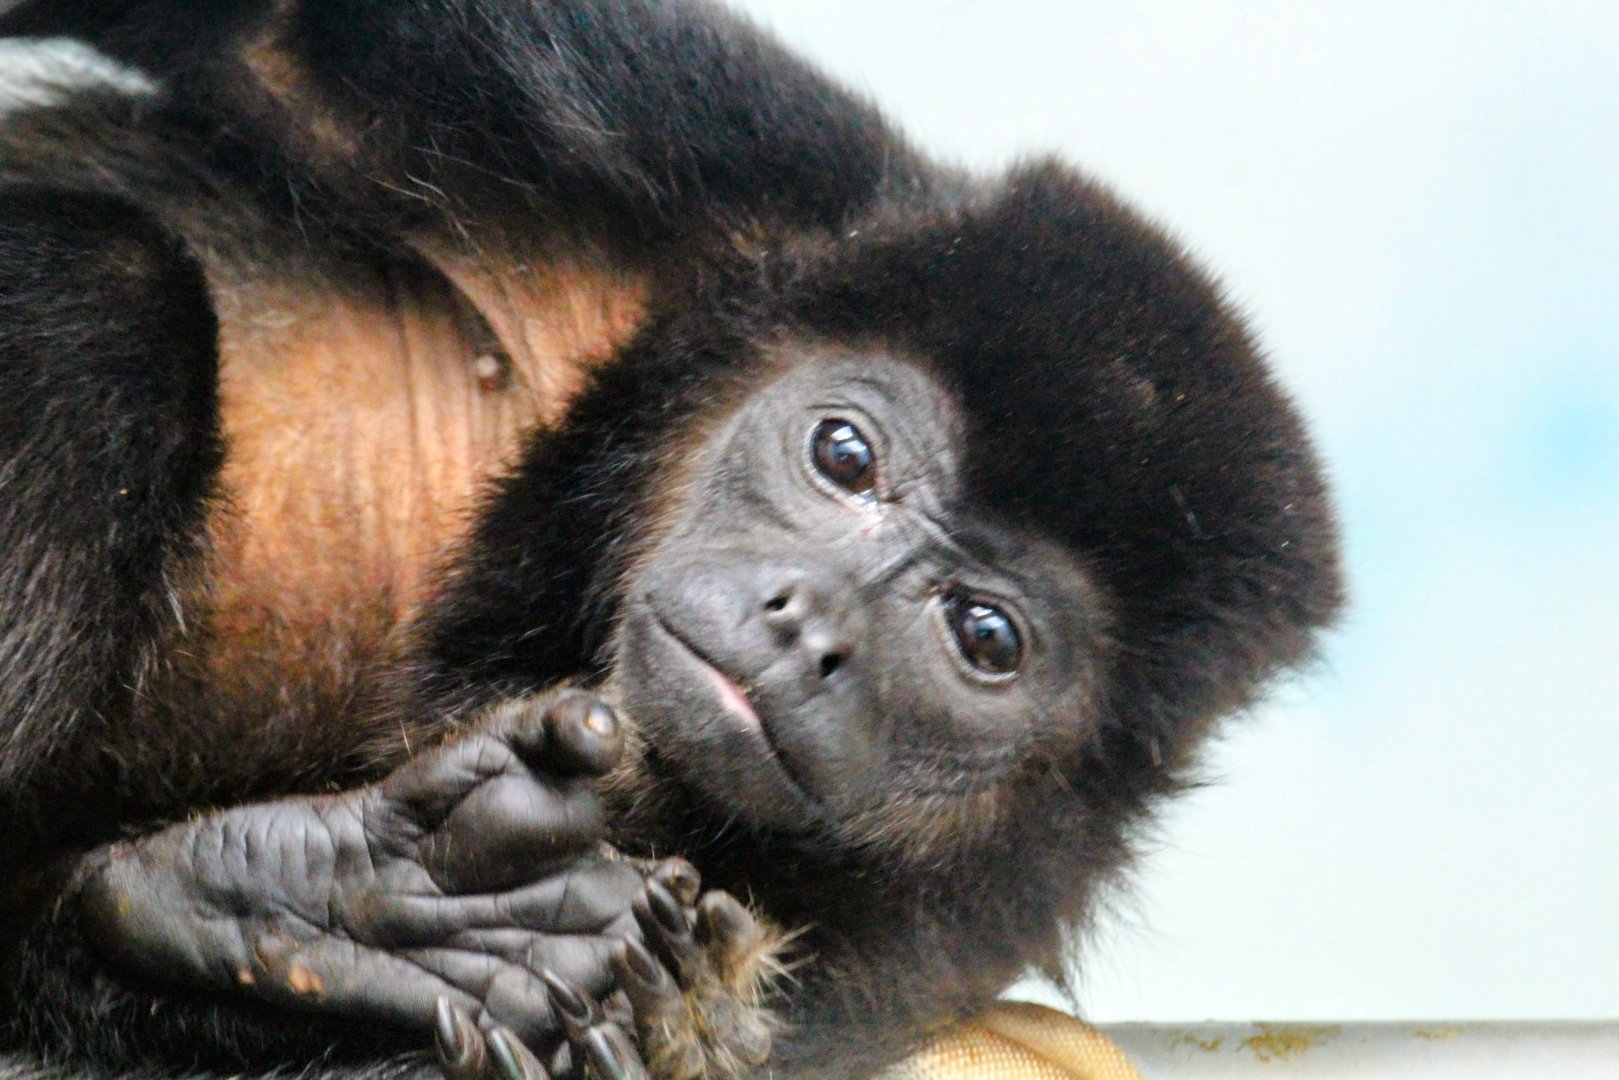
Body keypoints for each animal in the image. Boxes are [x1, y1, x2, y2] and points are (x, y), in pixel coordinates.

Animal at [0, 2, 1344, 1079]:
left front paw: (313, 910)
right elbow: (264, 32)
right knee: (98, 291)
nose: (807, 625)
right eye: (843, 455)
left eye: (985, 635)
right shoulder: (741, 157)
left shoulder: (939, 935)